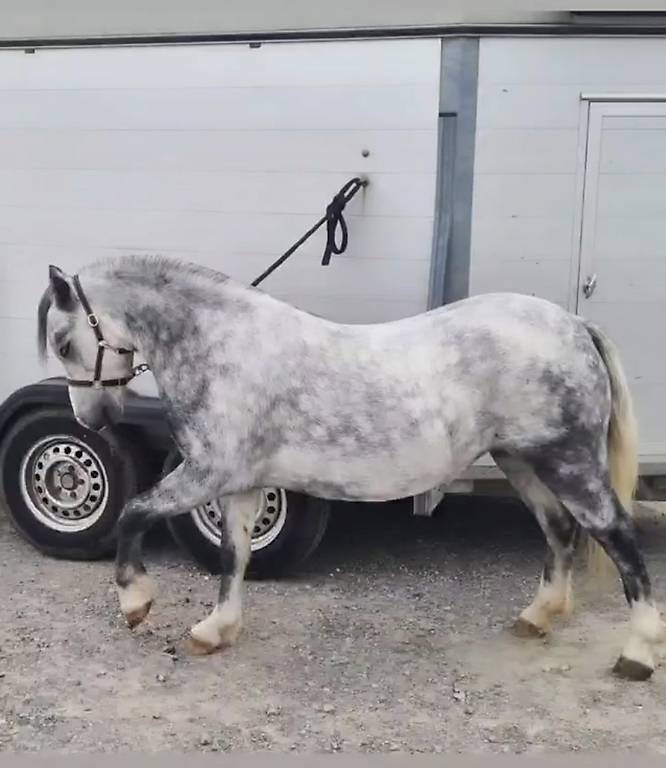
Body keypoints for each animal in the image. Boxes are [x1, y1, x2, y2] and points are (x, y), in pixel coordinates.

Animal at [37, 255, 662, 681]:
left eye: (63, 341)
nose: (94, 419)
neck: (223, 348)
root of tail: (574, 325)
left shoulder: (207, 473)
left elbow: (133, 513)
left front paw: (136, 604)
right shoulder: (239, 485)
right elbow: (234, 558)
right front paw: (216, 631)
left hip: (568, 461)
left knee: (619, 538)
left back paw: (636, 654)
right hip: (522, 461)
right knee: (558, 531)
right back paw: (538, 616)